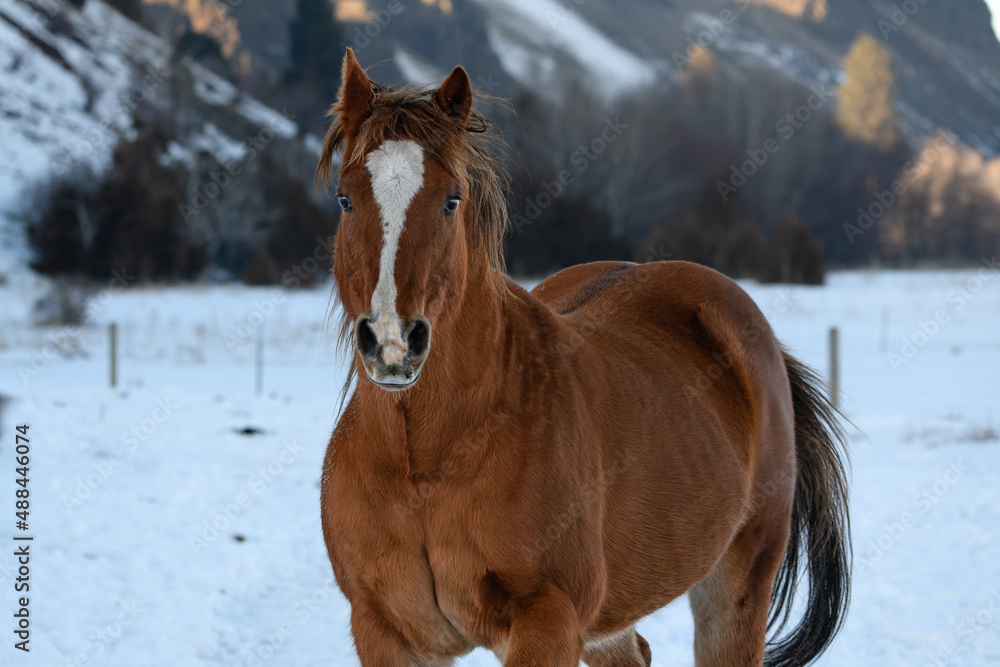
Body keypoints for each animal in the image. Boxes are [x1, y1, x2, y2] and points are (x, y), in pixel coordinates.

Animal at [317, 48, 850, 667]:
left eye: (451, 200)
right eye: (345, 198)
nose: (393, 342)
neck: (425, 459)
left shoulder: (548, 622)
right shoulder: (385, 631)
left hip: (738, 586)